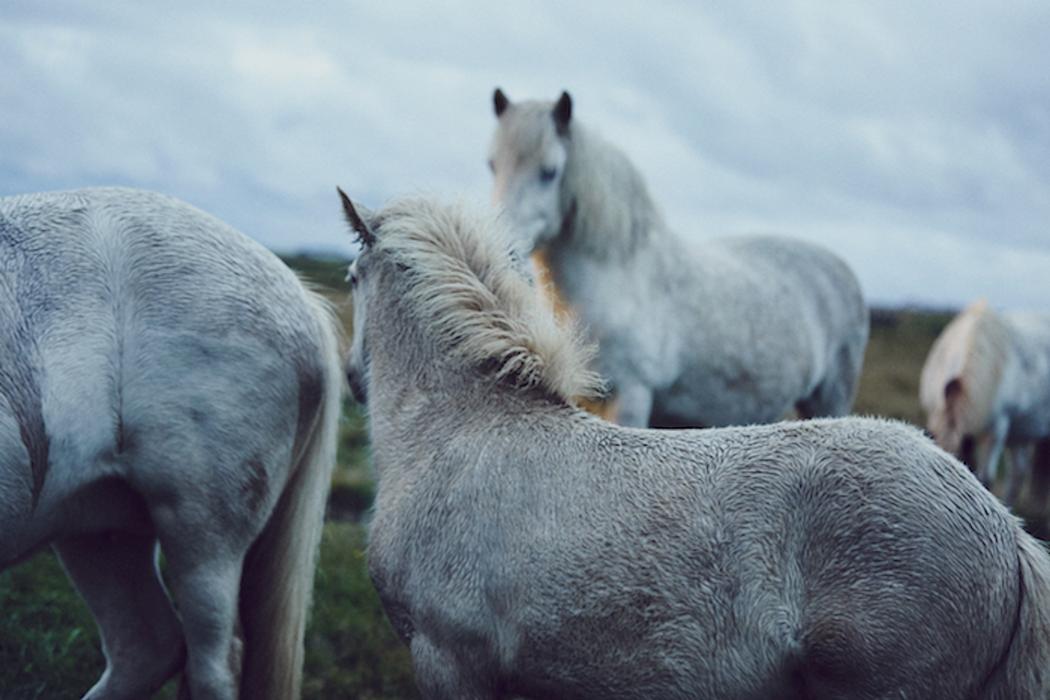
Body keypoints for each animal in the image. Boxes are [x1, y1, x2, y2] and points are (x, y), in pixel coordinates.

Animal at [487, 88, 870, 428]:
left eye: (549, 171)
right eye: (492, 165)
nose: (501, 248)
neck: (616, 287)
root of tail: (841, 268)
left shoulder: (632, 396)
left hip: (830, 399)